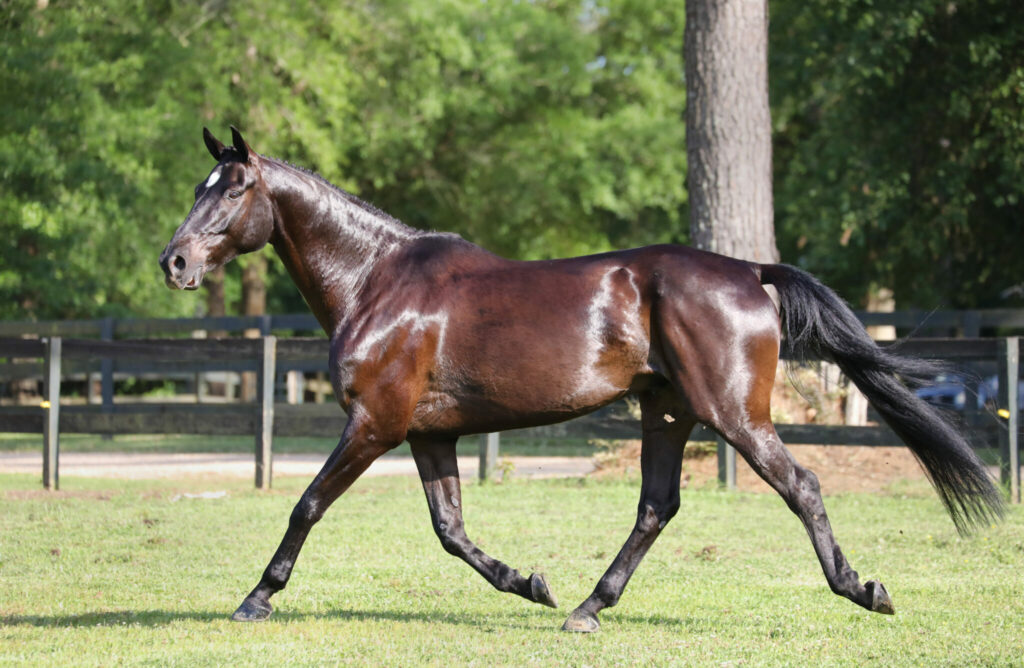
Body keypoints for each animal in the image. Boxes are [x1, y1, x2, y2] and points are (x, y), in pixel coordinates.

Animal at [159, 127, 1003, 632]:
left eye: (233, 188)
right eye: (199, 186)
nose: (174, 262)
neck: (378, 281)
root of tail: (748, 271)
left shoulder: (375, 424)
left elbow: (306, 504)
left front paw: (256, 598)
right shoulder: (429, 434)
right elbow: (451, 531)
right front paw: (530, 583)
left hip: (734, 415)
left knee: (802, 486)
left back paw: (863, 589)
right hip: (667, 413)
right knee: (657, 507)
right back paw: (589, 607)